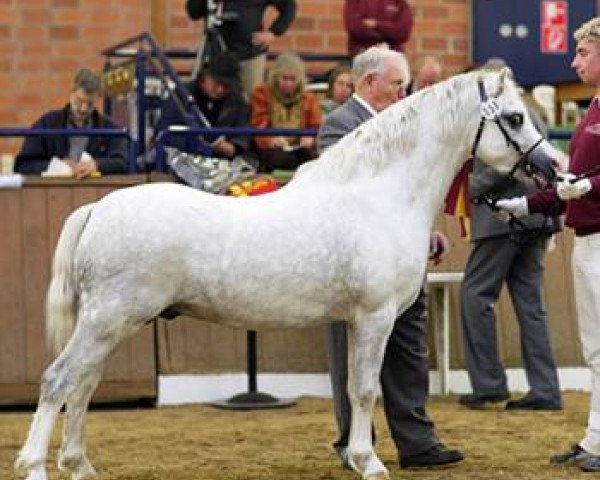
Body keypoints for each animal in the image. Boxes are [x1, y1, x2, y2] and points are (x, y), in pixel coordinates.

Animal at [15, 68, 564, 480]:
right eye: (514, 117)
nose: (554, 167)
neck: (379, 194)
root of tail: (100, 207)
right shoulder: (375, 317)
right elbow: (366, 389)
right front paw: (369, 462)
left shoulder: (356, 321)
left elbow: (354, 389)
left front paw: (359, 456)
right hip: (108, 319)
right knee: (60, 380)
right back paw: (36, 466)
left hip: (112, 324)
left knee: (83, 385)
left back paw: (79, 465)